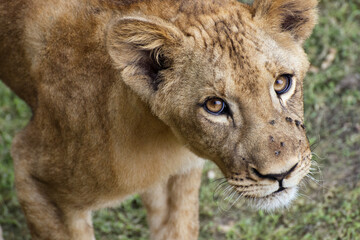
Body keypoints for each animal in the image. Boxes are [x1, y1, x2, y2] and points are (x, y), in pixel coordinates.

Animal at [0, 0, 316, 239]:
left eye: (281, 83)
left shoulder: (176, 178)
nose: (281, 174)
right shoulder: (32, 170)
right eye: (215, 106)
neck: (167, 138)